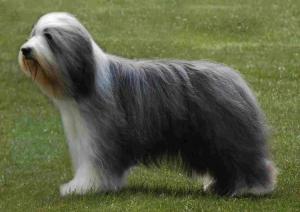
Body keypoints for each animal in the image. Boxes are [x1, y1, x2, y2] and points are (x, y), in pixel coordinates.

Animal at [18, 12, 276, 196]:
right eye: (33, 33)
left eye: (48, 37)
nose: (25, 49)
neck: (87, 77)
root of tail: (234, 78)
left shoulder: (100, 135)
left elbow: (95, 164)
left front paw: (82, 187)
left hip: (226, 135)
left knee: (245, 160)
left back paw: (252, 187)